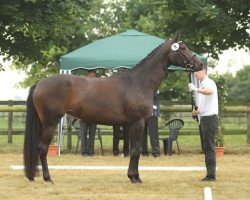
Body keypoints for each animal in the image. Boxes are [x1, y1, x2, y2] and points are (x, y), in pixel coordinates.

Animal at [23, 32, 203, 183]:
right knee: (42, 148)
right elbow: (135, 151)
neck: (139, 82)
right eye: (183, 48)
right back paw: (48, 178)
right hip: (50, 123)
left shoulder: (135, 125)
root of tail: (40, 83)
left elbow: (135, 150)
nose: (200, 64)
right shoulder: (137, 123)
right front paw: (134, 178)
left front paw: (135, 176)